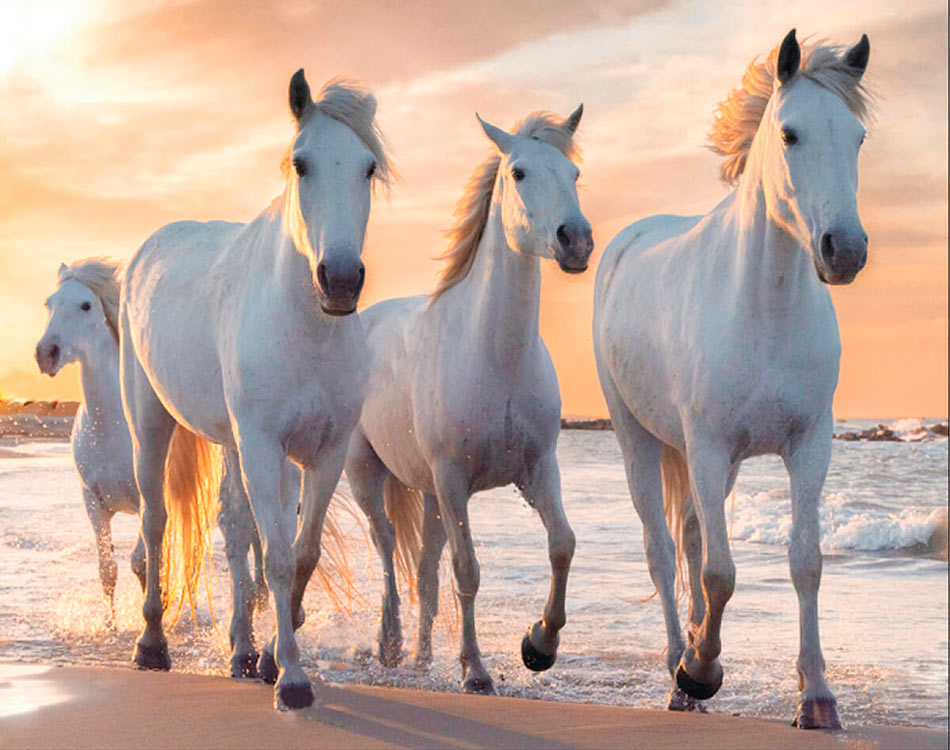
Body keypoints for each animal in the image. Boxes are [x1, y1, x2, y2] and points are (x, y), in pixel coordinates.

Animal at [35, 262, 270, 680]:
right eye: (49, 303)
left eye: (85, 305)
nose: (46, 353)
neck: (109, 427)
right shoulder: (93, 503)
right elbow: (109, 569)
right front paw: (111, 627)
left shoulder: (149, 496)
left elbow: (142, 561)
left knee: (255, 539)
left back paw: (257, 602)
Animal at [120, 72, 390, 712]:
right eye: (302, 163)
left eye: (368, 167)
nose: (340, 280)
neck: (305, 327)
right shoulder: (265, 447)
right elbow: (278, 557)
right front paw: (291, 679)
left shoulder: (324, 452)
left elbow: (301, 552)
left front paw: (270, 659)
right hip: (151, 423)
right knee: (155, 520)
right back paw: (151, 644)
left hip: (234, 444)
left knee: (234, 529)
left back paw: (241, 651)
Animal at [342, 106, 596, 692]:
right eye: (519, 173)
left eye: (574, 175)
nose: (575, 240)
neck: (495, 357)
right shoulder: (454, 478)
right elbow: (468, 571)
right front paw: (476, 670)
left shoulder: (537, 470)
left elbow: (562, 544)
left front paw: (539, 645)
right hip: (369, 475)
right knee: (387, 548)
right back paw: (389, 645)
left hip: (430, 494)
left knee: (423, 566)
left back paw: (420, 656)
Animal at [600, 29, 872, 728]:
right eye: (790, 134)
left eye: (857, 137)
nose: (845, 251)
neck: (764, 308)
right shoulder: (708, 445)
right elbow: (719, 574)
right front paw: (699, 671)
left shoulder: (809, 446)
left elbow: (805, 562)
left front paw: (817, 697)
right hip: (641, 440)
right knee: (663, 552)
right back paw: (680, 670)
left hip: (712, 463)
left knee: (693, 538)